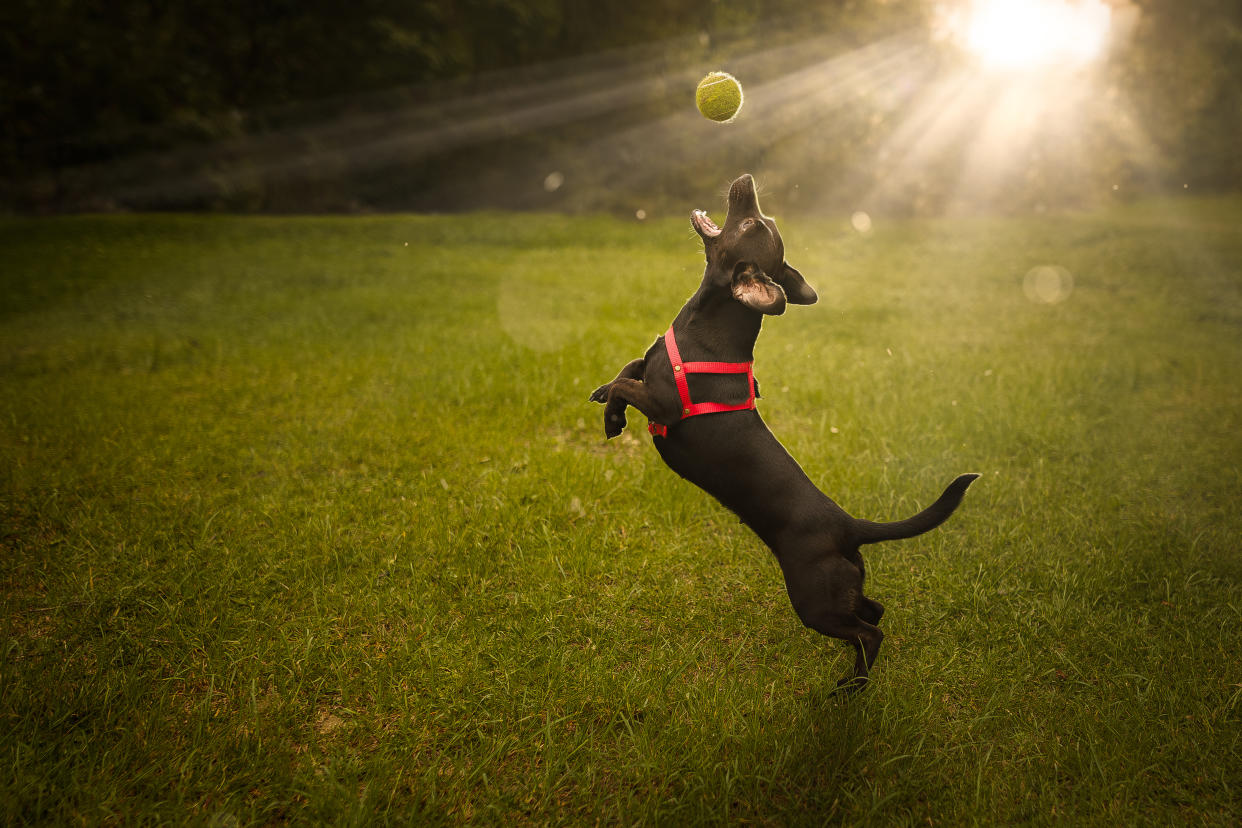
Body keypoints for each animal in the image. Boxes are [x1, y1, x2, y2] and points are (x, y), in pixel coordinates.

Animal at [591, 175, 978, 695]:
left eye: (751, 224)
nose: (747, 180)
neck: (703, 326)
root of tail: (848, 525)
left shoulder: (666, 405)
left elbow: (629, 384)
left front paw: (612, 406)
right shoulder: (648, 368)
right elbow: (628, 369)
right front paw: (610, 410)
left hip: (814, 600)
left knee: (869, 631)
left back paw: (850, 688)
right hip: (841, 591)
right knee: (875, 610)